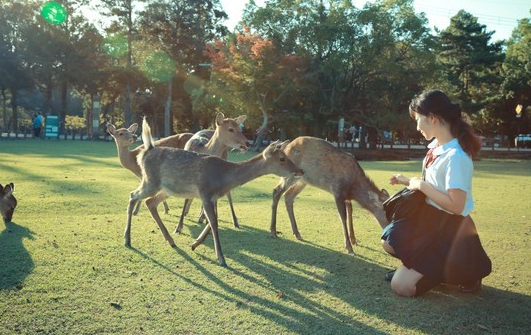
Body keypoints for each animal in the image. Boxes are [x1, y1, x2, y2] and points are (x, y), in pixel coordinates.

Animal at [125, 118, 306, 268]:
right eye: (282, 158)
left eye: (286, 155)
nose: (300, 170)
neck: (223, 179)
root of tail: (146, 150)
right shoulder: (205, 193)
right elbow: (213, 222)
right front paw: (222, 258)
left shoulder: (212, 197)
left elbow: (212, 220)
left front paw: (194, 244)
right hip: (150, 181)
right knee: (133, 195)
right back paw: (127, 240)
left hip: (167, 189)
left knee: (150, 202)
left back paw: (171, 241)